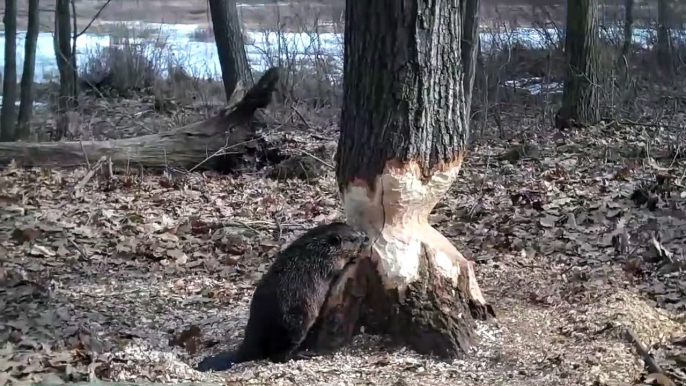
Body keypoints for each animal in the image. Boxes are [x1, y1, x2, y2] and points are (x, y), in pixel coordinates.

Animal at [199, 220, 370, 370]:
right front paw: (353, 258)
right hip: (296, 322)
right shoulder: (326, 262)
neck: (316, 247)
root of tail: (241, 352)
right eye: (353, 238)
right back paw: (302, 354)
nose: (366, 237)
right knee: (278, 355)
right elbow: (337, 268)